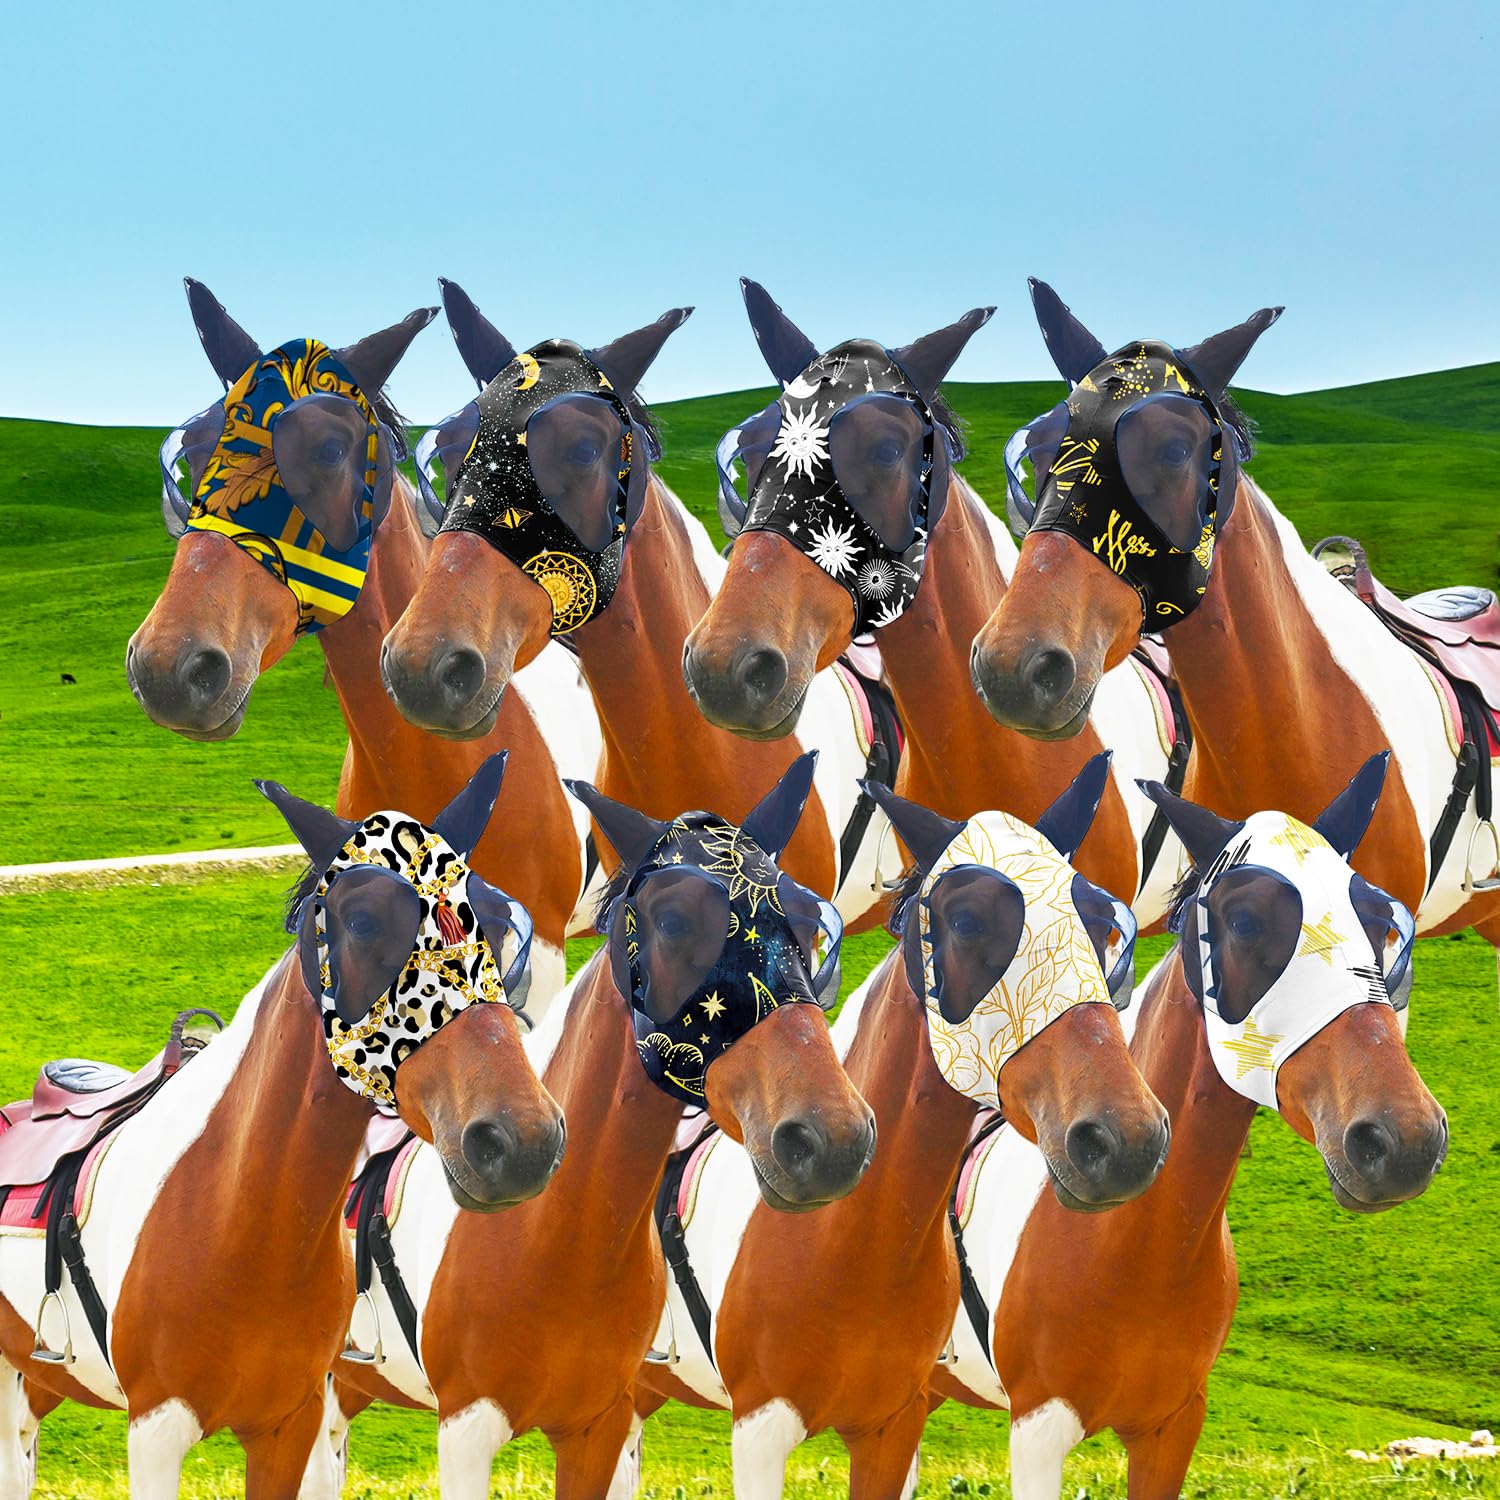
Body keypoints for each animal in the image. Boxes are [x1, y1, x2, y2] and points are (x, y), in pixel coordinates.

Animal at [0, 756, 564, 1499]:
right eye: (362, 922)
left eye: (497, 925)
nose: (519, 1139)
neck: (240, 1216)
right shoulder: (154, 1431)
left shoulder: (286, 1426)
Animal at [323, 756, 876, 1499]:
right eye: (672, 922)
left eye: (808, 924)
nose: (832, 1137)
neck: (558, 1237)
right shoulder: (464, 1429)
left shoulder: (599, 1423)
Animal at [629, 755, 1170, 1500]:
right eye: (967, 922)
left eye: (1101, 924)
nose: (1127, 1137)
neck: (857, 1240)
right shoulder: (759, 1428)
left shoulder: (893, 1423)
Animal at [931, 758, 1447, 1500]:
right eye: (1245, 921)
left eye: (1382, 923)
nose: (1404, 1138)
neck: (1136, 1244)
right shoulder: (1037, 1431)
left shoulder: (1172, 1429)